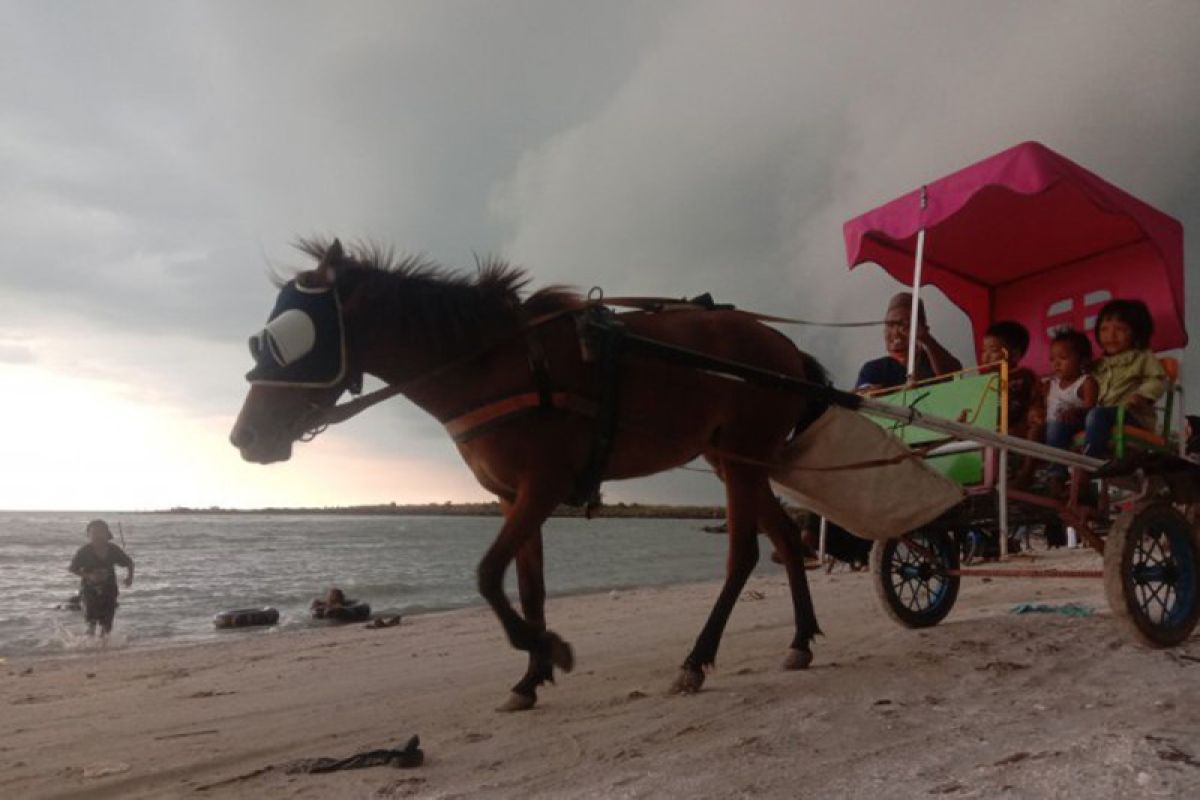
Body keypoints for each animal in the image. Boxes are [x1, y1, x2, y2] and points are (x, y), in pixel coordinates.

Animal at [230, 239, 830, 714]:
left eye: (285, 338)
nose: (243, 437)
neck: (492, 364)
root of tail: (785, 349)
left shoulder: (543, 488)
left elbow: (487, 575)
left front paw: (547, 650)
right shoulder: (510, 496)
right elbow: (527, 587)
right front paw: (532, 673)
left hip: (741, 457)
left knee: (744, 555)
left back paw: (698, 658)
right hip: (733, 461)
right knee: (784, 539)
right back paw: (801, 639)